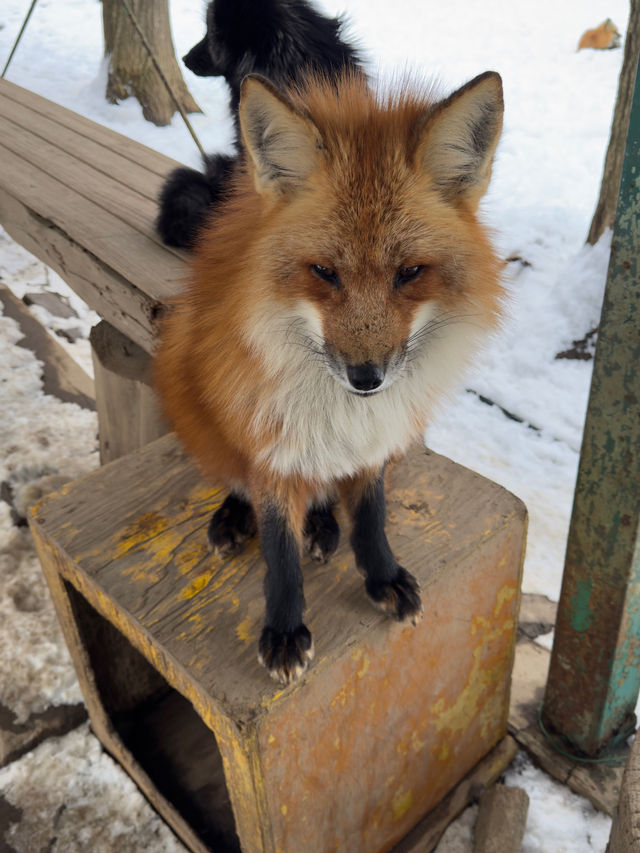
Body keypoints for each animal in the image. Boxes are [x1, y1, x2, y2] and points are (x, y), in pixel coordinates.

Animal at [154, 73, 504, 684]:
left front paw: (382, 576)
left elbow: (370, 518)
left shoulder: (376, 443)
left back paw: (321, 523)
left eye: (410, 273)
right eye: (323, 272)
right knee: (236, 477)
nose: (367, 378)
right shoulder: (269, 444)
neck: (344, 411)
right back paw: (237, 515)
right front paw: (284, 628)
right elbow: (279, 553)